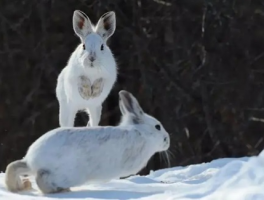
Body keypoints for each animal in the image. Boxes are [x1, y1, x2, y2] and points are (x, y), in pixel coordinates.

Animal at [5, 90, 170, 194]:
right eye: (157, 126)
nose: (167, 140)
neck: (141, 133)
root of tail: (33, 160)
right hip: (67, 174)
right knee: (41, 179)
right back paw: (61, 190)